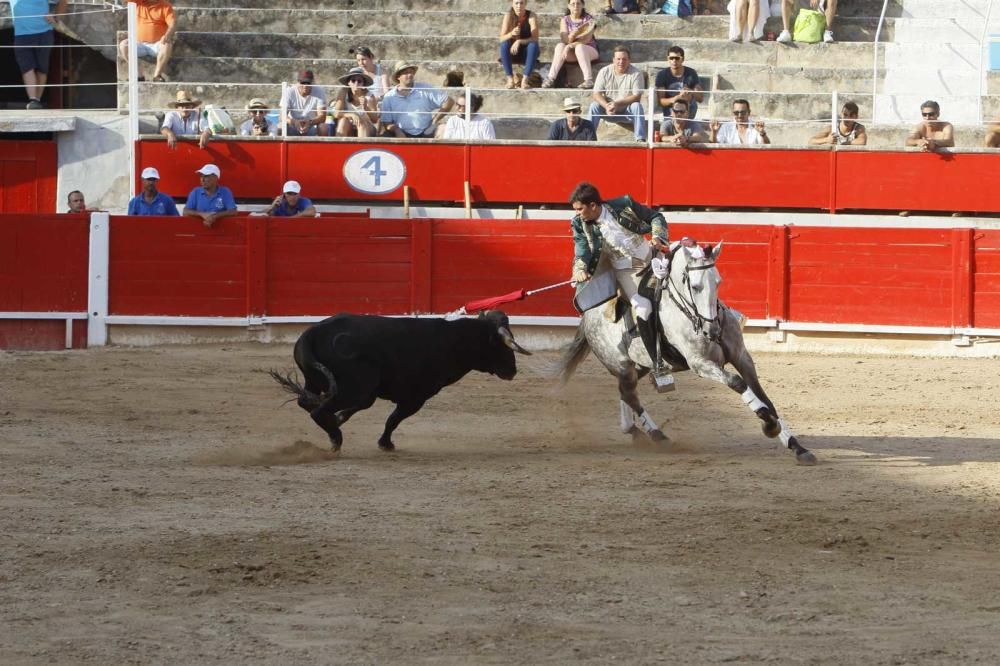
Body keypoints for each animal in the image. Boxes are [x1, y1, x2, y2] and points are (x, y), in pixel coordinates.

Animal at [270, 308, 528, 448]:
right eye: (503, 346)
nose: (512, 370)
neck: (454, 341)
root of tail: (312, 333)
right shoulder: (416, 397)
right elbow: (393, 420)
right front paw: (385, 444)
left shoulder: (377, 394)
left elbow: (366, 411)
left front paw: (341, 419)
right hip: (355, 388)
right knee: (317, 409)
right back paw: (336, 438)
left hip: (318, 381)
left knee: (306, 401)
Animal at [560, 241, 816, 464]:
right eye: (695, 286)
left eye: (718, 281)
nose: (713, 331)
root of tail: (588, 315)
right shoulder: (700, 363)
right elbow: (738, 383)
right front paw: (770, 426)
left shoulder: (742, 357)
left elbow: (765, 397)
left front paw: (797, 447)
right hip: (621, 365)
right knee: (630, 395)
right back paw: (658, 436)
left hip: (639, 366)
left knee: (625, 392)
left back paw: (633, 430)